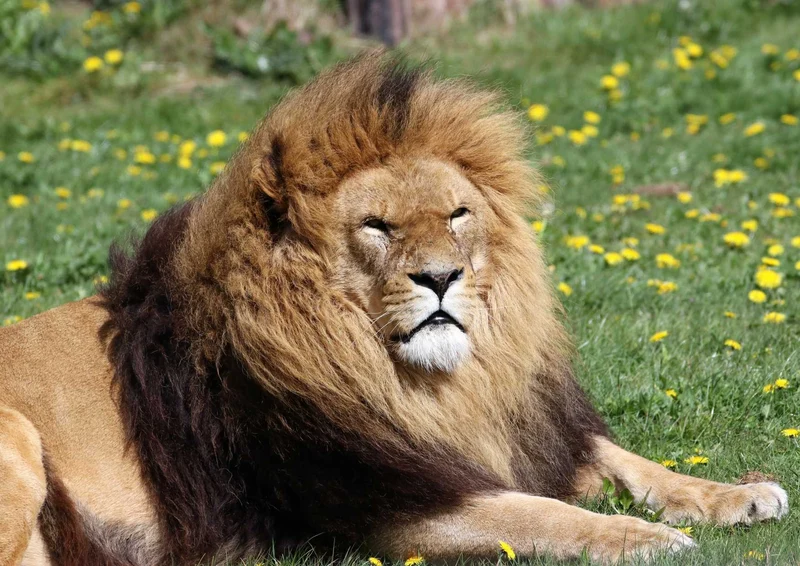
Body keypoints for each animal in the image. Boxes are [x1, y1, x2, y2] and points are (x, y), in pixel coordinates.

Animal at [0, 52, 788, 566]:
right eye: (376, 225)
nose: (441, 277)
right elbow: (542, 513)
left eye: (458, 214)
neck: (427, 387)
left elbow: (623, 460)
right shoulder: (385, 505)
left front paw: (736, 496)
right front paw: (645, 538)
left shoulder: (509, 433)